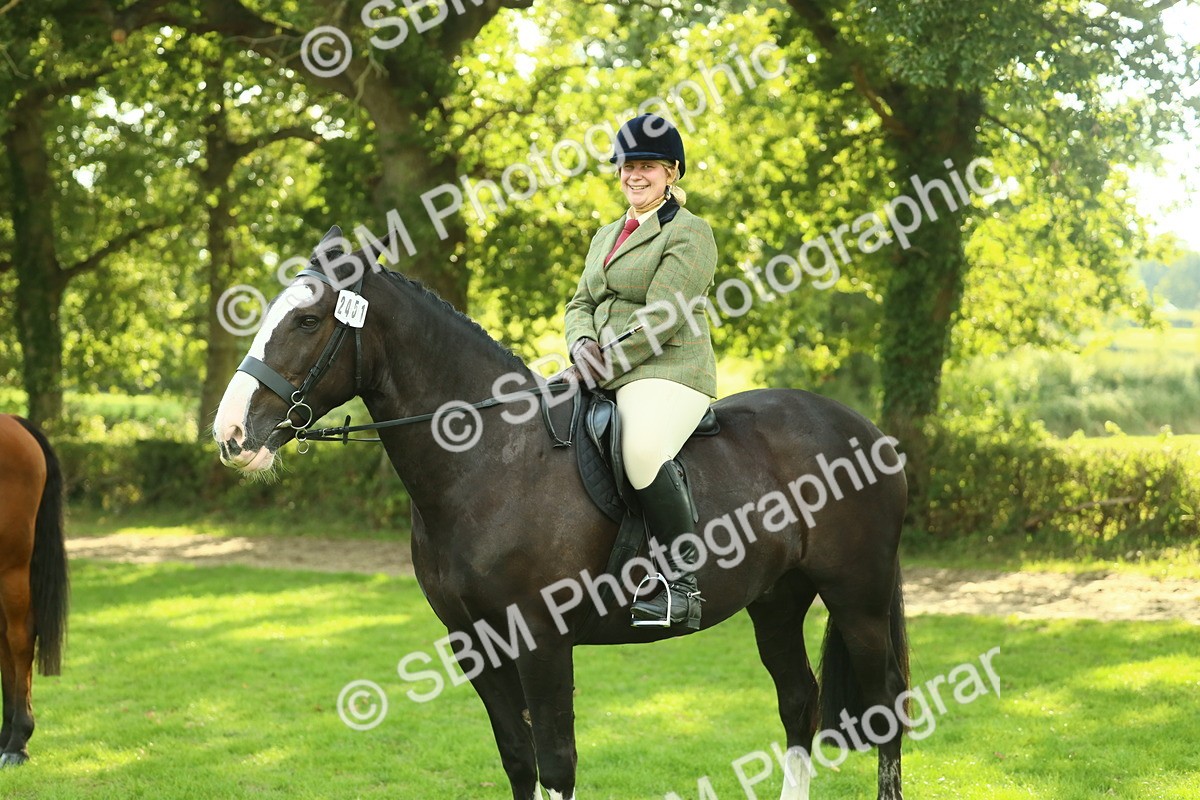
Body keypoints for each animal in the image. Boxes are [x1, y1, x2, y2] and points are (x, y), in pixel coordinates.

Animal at [213, 228, 910, 800]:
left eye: (308, 320)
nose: (230, 435)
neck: (491, 460)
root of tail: (869, 431)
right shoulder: (475, 644)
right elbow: (519, 760)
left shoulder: (541, 641)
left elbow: (556, 763)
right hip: (777, 599)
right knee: (799, 701)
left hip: (858, 598)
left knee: (885, 711)